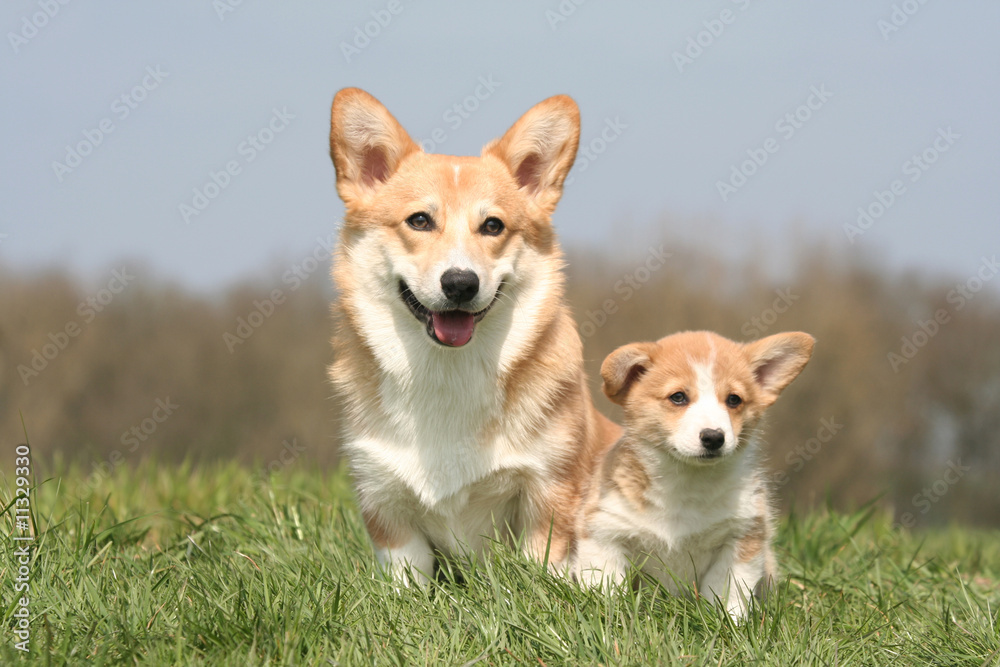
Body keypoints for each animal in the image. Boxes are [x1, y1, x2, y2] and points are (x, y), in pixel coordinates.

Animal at [328, 87, 620, 584]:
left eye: (493, 226)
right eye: (419, 221)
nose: (461, 284)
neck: (447, 370)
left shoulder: (548, 490)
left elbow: (541, 567)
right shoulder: (385, 501)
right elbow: (406, 580)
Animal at [576, 332, 816, 620]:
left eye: (734, 399)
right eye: (678, 397)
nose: (713, 437)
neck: (686, 482)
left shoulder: (742, 537)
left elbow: (728, 592)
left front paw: (730, 623)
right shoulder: (605, 532)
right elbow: (607, 588)